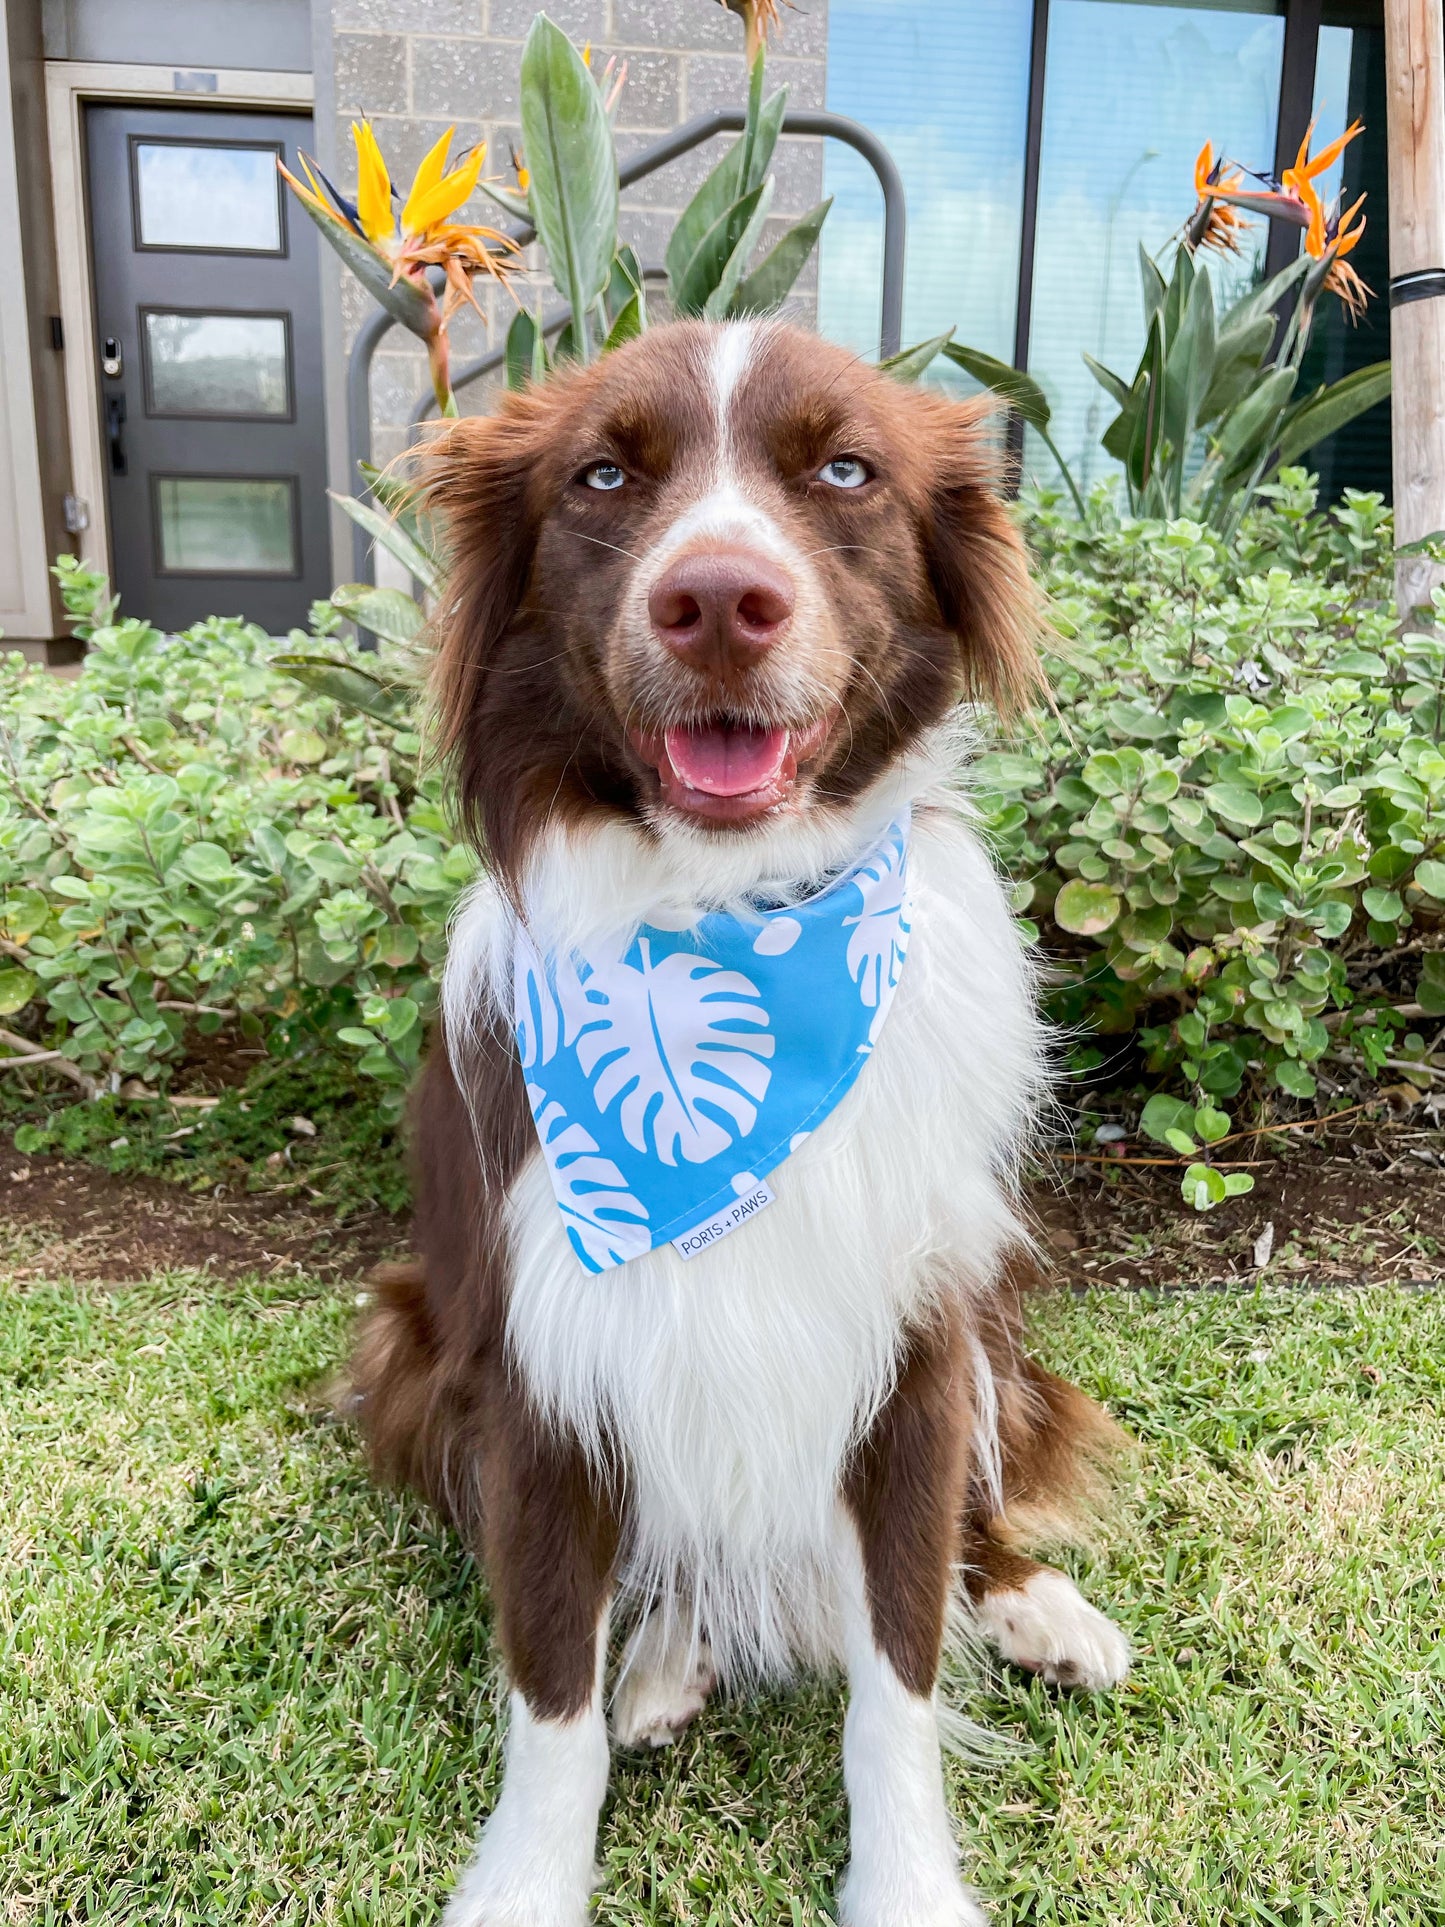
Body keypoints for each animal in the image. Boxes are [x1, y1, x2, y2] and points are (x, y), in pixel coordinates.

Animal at [354, 319, 1132, 1927]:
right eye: (601, 475)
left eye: (845, 470)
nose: (717, 601)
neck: (732, 928)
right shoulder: (535, 1367)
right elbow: (549, 1691)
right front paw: (527, 1878)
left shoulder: (913, 1344)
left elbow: (898, 1672)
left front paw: (907, 1884)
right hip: (404, 1348)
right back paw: (665, 1654)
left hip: (984, 1328)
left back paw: (1037, 1606)